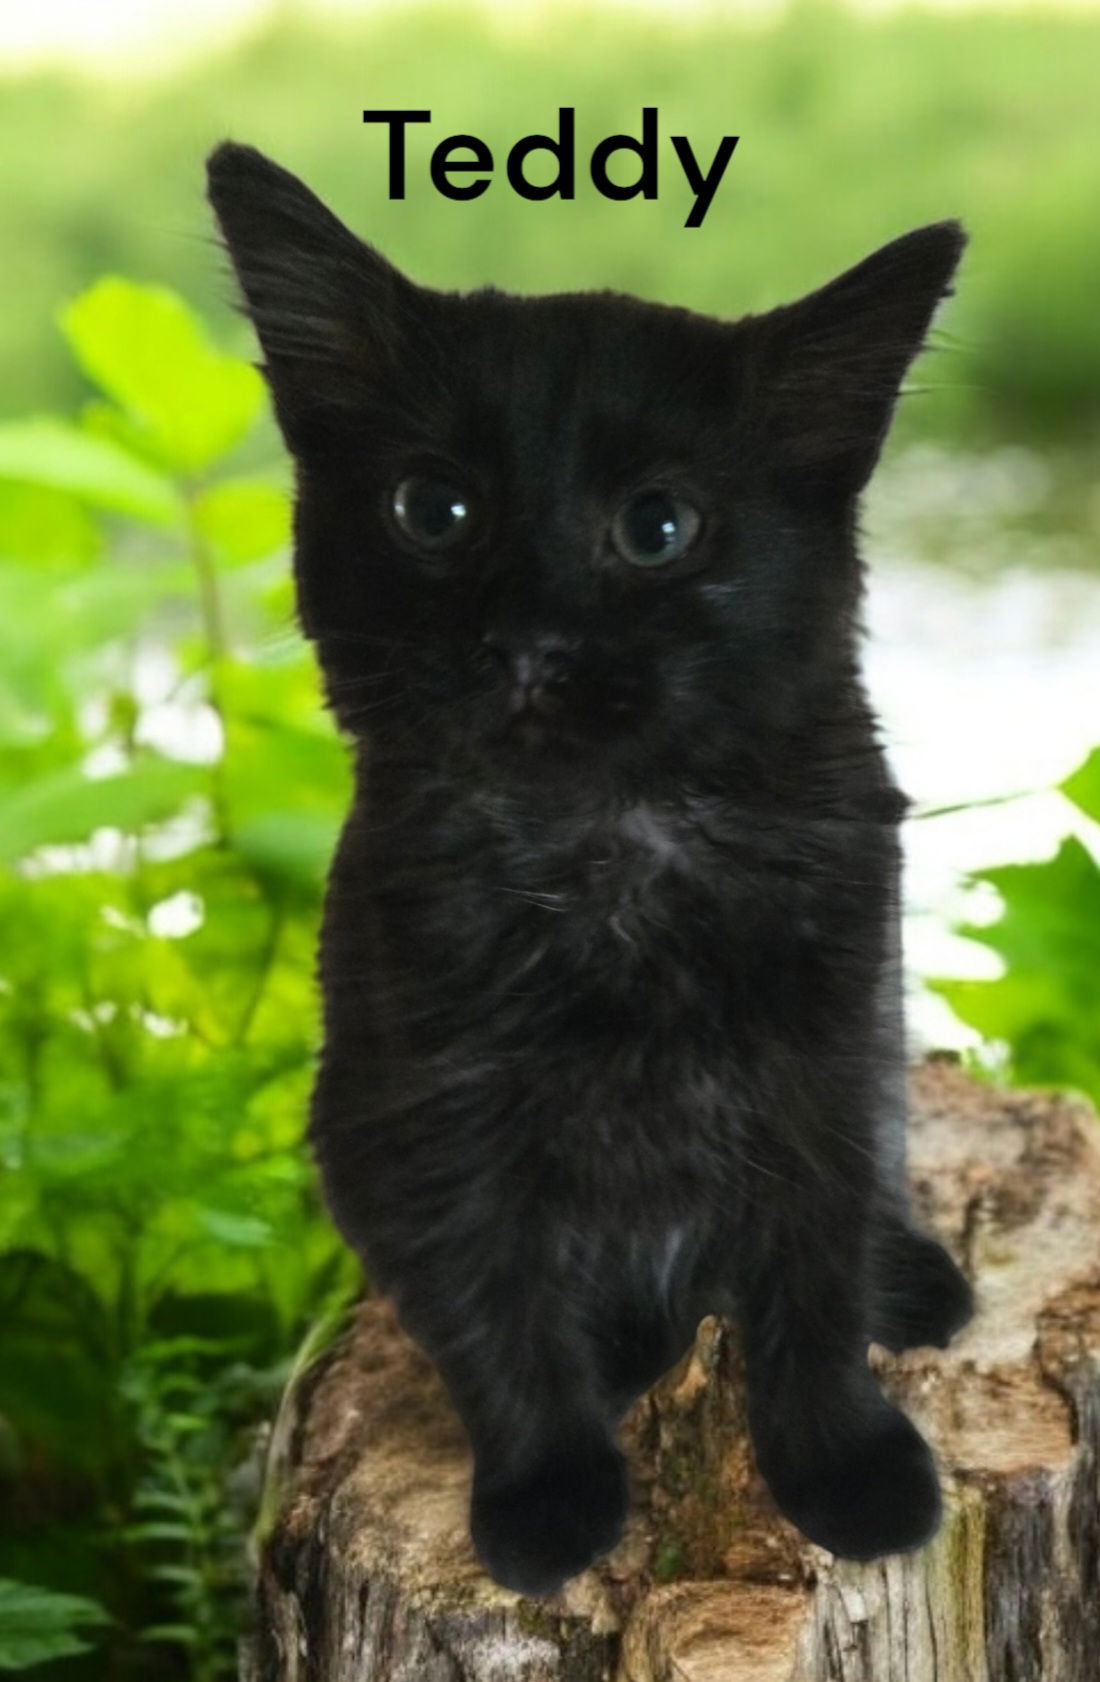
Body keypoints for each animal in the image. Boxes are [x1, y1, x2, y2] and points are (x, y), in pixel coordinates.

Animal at [206, 141, 975, 1587]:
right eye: (433, 508)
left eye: (658, 527)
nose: (527, 636)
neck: (610, 845)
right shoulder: (419, 1099)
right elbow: (491, 1301)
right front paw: (550, 1494)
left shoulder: (828, 1049)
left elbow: (810, 1273)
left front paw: (847, 1469)